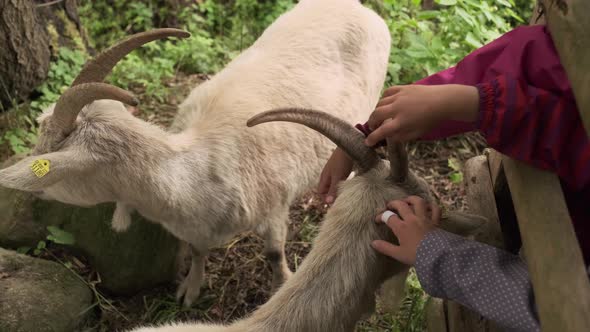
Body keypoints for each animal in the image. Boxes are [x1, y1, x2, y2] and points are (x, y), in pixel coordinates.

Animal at [0, 0, 394, 306]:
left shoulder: (274, 207)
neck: (199, 169)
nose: (27, 189)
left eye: (49, 150)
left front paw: (280, 284)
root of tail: (356, 8)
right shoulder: (195, 227)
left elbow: (273, 252)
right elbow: (198, 249)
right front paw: (190, 289)